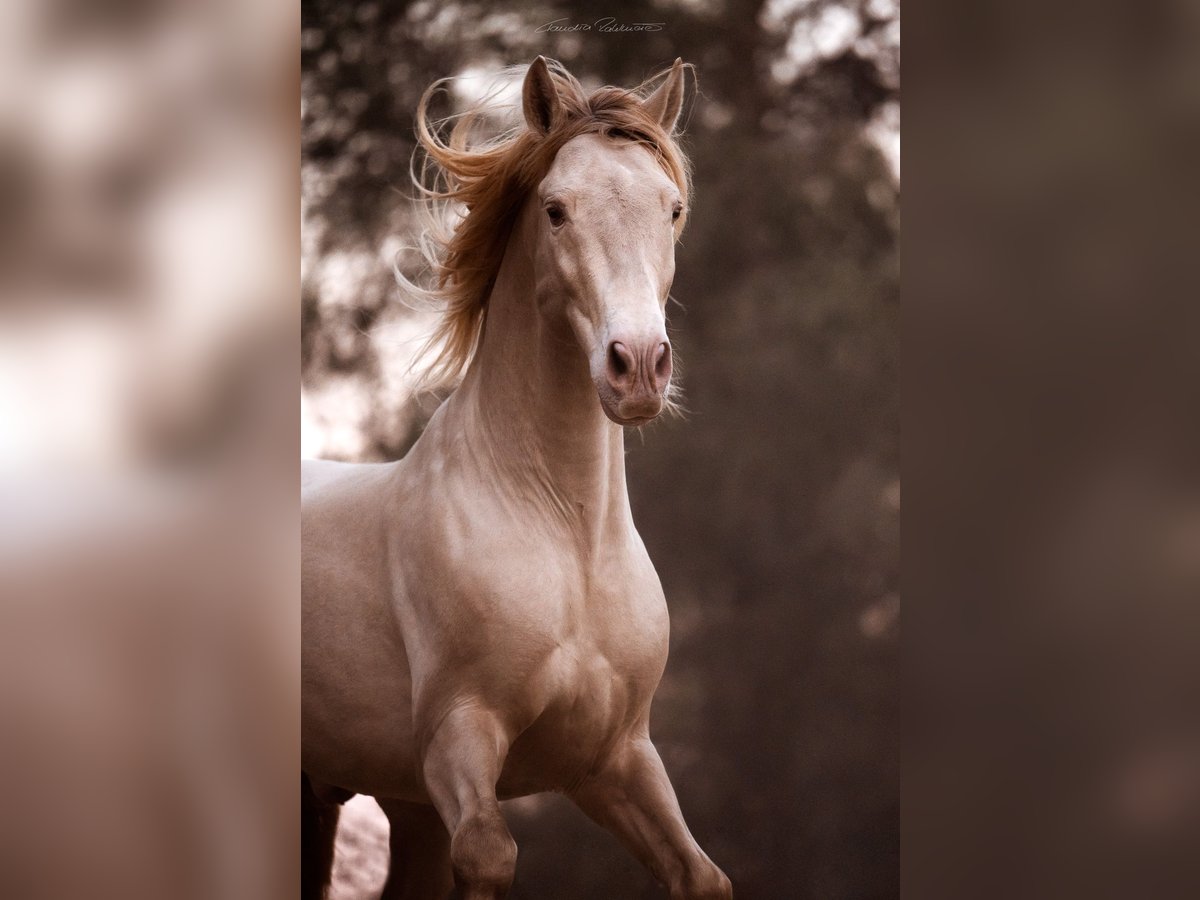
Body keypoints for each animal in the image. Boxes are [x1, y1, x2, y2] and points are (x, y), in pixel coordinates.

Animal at [300, 58, 729, 900]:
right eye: (557, 211)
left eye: (671, 209)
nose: (638, 368)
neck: (562, 531)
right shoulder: (459, 736)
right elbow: (492, 854)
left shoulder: (617, 759)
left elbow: (702, 875)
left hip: (373, 803)